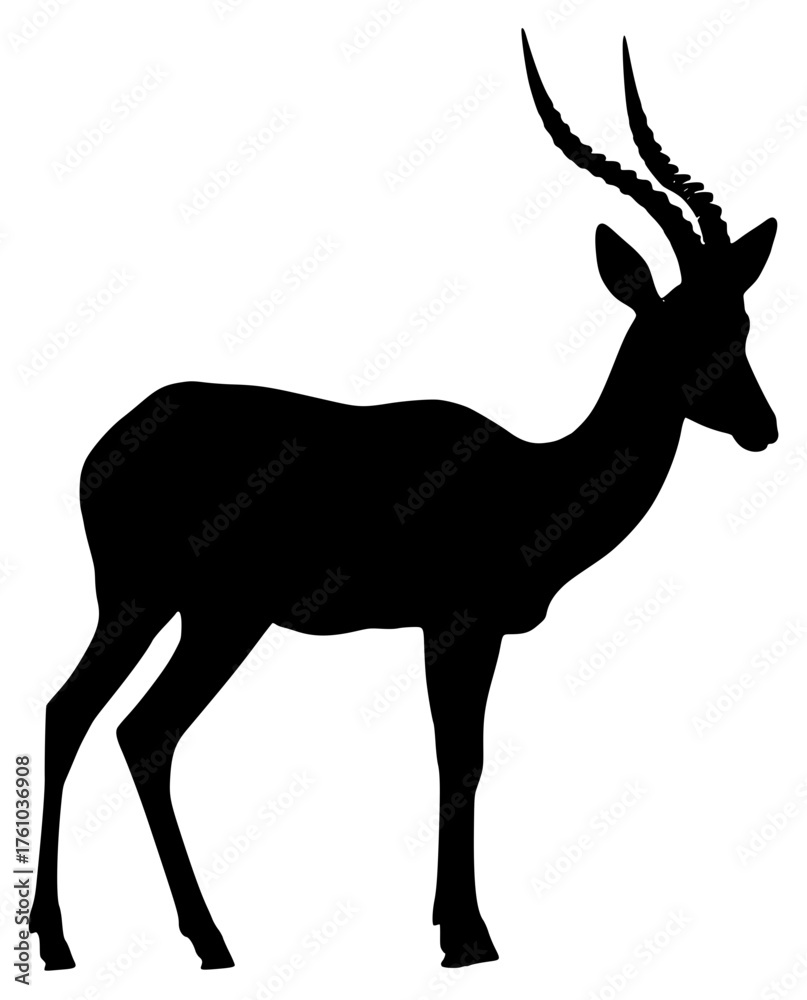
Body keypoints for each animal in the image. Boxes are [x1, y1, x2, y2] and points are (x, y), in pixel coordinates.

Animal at [30, 30, 778, 971]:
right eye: (680, 329)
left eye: (742, 324)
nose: (763, 427)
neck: (531, 480)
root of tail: (110, 440)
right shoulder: (457, 624)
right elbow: (460, 761)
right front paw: (467, 938)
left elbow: (461, 759)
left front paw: (445, 924)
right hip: (179, 607)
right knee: (114, 722)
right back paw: (122, 938)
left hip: (188, 611)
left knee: (107, 722)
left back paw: (143, 941)